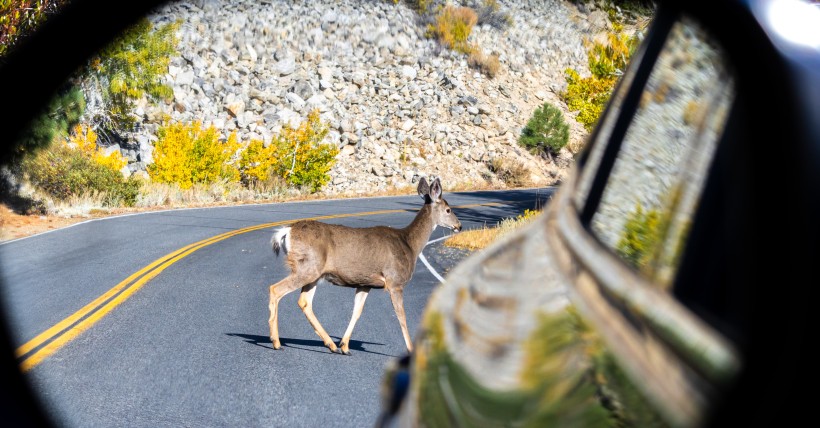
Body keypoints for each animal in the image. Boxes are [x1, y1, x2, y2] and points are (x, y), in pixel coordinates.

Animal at [270, 176, 462, 354]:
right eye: (448, 209)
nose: (459, 226)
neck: (410, 245)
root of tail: (287, 232)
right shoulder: (395, 282)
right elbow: (402, 317)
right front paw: (410, 349)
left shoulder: (365, 283)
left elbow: (357, 312)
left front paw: (345, 345)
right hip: (307, 268)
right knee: (275, 289)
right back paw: (276, 342)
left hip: (314, 273)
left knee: (304, 302)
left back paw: (331, 345)